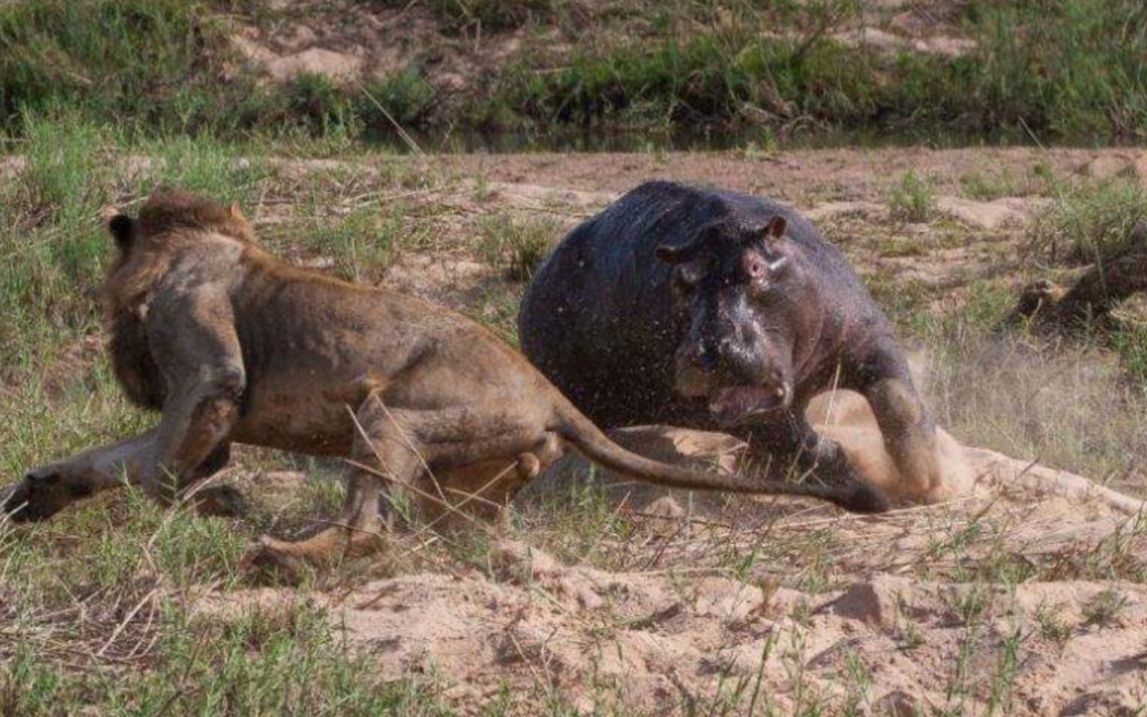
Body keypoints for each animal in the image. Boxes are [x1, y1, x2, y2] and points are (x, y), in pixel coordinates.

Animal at [0, 190, 885, 571]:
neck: (187, 250)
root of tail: (549, 391)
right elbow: (109, 458)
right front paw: (38, 493)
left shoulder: (207, 369)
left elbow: (160, 459)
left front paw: (200, 503)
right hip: (466, 474)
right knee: (464, 525)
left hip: (393, 413)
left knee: (369, 524)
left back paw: (288, 554)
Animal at [523, 178, 949, 502]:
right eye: (681, 282)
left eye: (755, 266)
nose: (711, 349)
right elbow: (793, 439)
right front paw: (850, 469)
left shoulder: (866, 332)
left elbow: (897, 398)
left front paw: (926, 479)